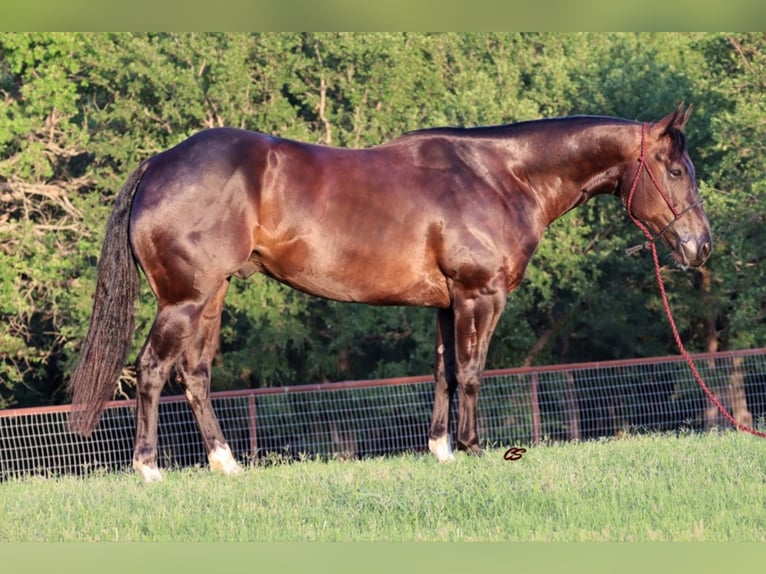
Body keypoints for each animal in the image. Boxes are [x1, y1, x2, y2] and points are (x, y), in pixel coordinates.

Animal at [69, 103, 712, 482]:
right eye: (676, 170)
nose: (700, 247)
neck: (501, 176)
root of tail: (158, 163)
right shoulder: (480, 296)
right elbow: (471, 372)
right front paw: (474, 449)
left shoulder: (447, 303)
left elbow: (444, 372)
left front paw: (441, 450)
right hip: (185, 300)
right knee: (153, 370)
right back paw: (149, 470)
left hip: (212, 298)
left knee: (195, 375)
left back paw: (226, 466)